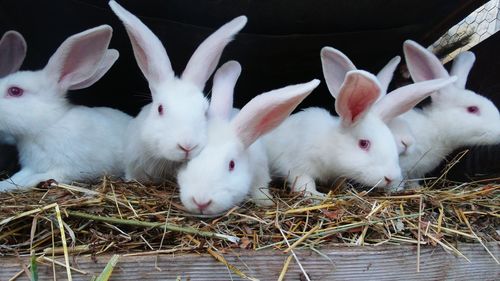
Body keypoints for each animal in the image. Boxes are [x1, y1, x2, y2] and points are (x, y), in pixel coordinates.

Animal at [0, 25, 131, 190]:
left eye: (15, 91)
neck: (48, 125)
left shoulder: (69, 168)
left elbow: (48, 175)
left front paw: (29, 182)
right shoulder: (30, 166)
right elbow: (17, 177)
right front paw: (4, 185)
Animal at [178, 60, 318, 214]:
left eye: (232, 165)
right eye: (187, 163)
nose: (201, 202)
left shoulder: (260, 170)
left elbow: (260, 189)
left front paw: (266, 202)